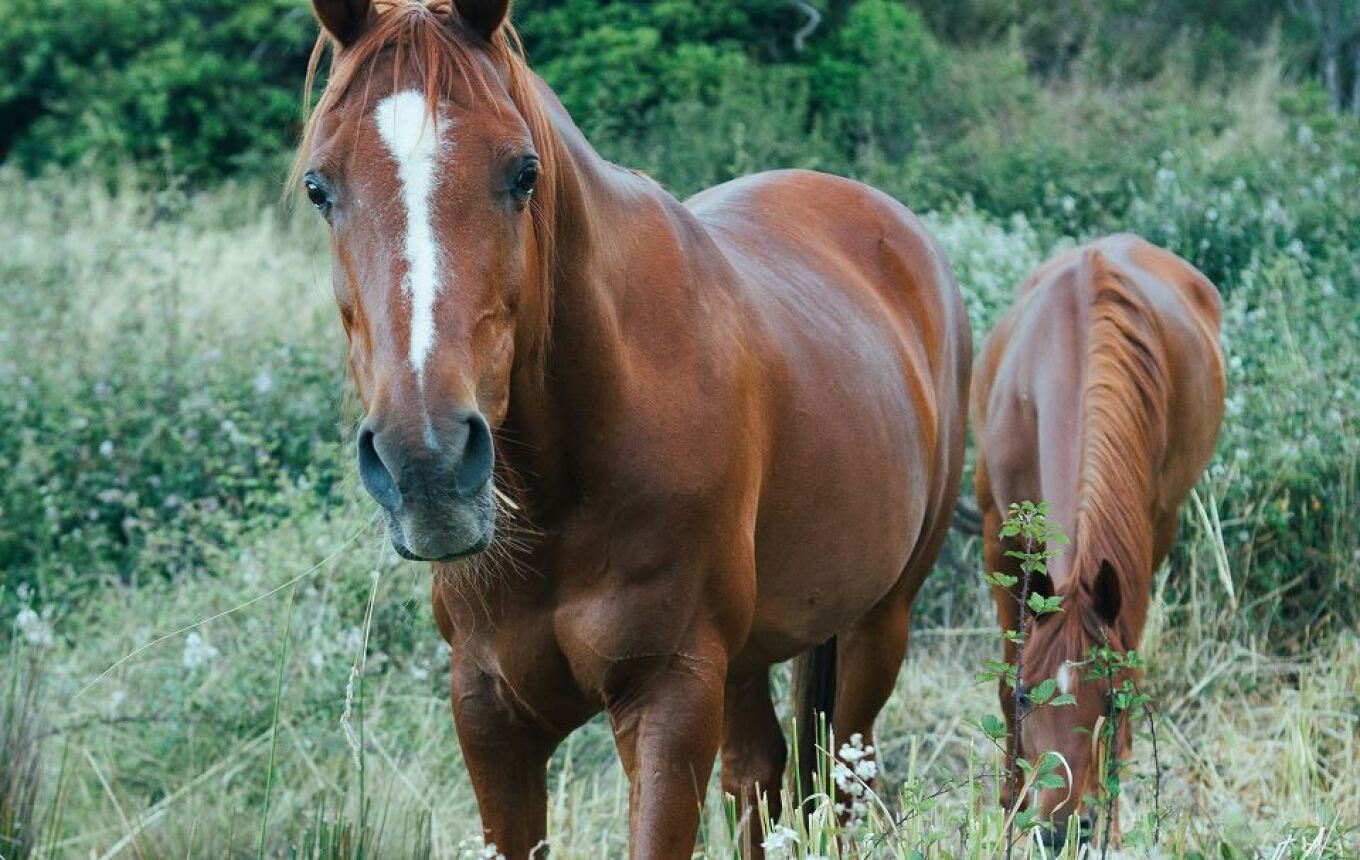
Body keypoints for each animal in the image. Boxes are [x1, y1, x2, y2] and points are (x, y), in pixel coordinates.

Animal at [294, 1, 971, 856]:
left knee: (845, 784)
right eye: (319, 186)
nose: (429, 466)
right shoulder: (489, 715)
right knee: (759, 774)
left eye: (522, 173)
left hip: (878, 627)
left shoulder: (668, 699)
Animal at [971, 234, 1225, 845]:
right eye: (1027, 695)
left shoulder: (1147, 534)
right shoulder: (995, 536)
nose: (1062, 830)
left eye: (1107, 702)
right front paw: (1008, 810)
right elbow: (1005, 674)